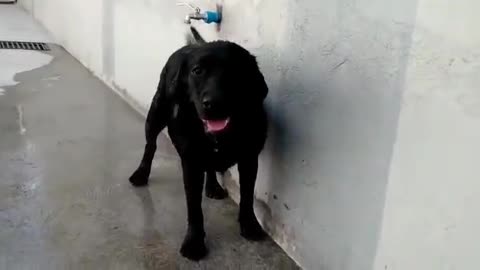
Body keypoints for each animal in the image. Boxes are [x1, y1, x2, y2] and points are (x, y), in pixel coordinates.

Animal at [129, 26, 268, 260]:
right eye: (197, 71)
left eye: (236, 71)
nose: (214, 103)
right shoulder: (191, 164)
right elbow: (194, 208)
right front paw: (194, 242)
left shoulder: (249, 159)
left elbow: (247, 196)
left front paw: (249, 225)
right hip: (156, 114)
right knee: (150, 146)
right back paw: (141, 173)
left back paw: (212, 186)